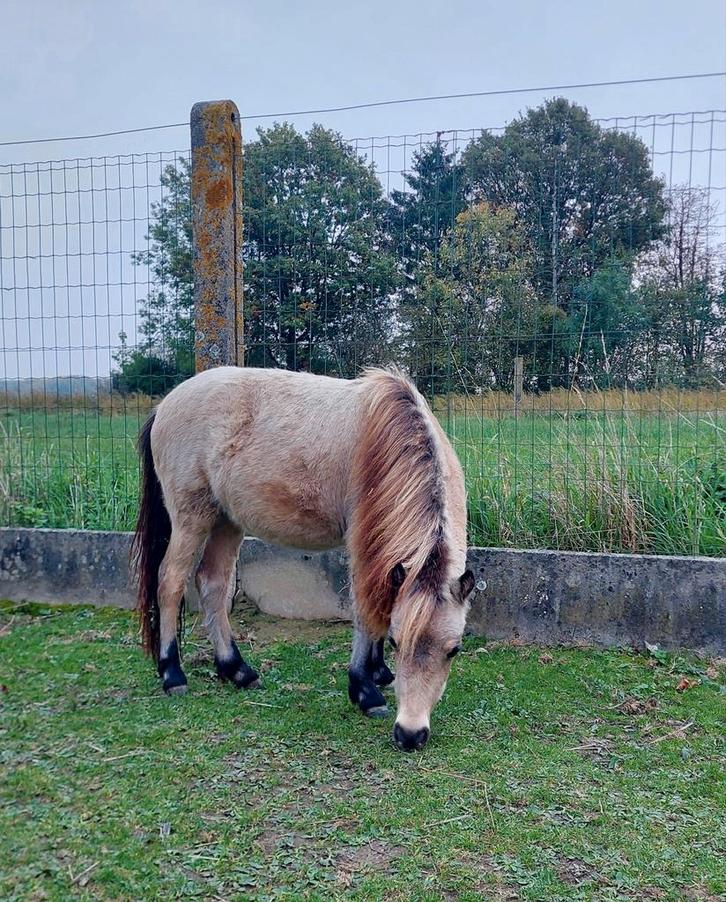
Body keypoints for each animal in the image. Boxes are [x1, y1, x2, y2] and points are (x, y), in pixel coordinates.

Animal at [133, 366, 474, 751]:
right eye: (396, 643)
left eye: (454, 650)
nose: (410, 734)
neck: (384, 440)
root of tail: (164, 405)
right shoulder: (361, 545)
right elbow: (365, 610)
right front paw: (365, 690)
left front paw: (378, 673)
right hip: (192, 518)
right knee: (170, 582)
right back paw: (172, 673)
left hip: (226, 520)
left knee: (213, 584)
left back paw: (236, 669)